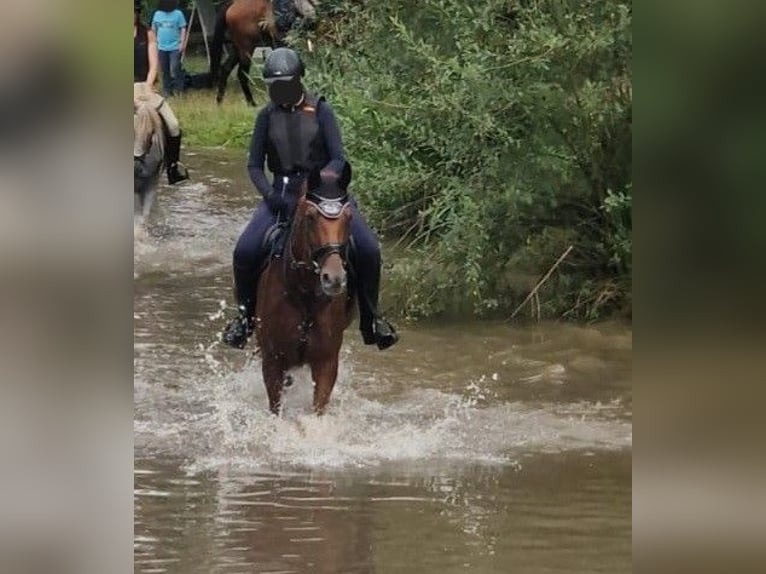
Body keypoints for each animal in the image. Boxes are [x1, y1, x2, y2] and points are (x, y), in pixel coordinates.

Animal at [256, 169, 356, 416]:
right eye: (310, 217)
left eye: (349, 217)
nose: (334, 278)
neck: (304, 297)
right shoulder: (272, 361)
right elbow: (276, 408)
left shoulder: (327, 362)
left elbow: (318, 409)